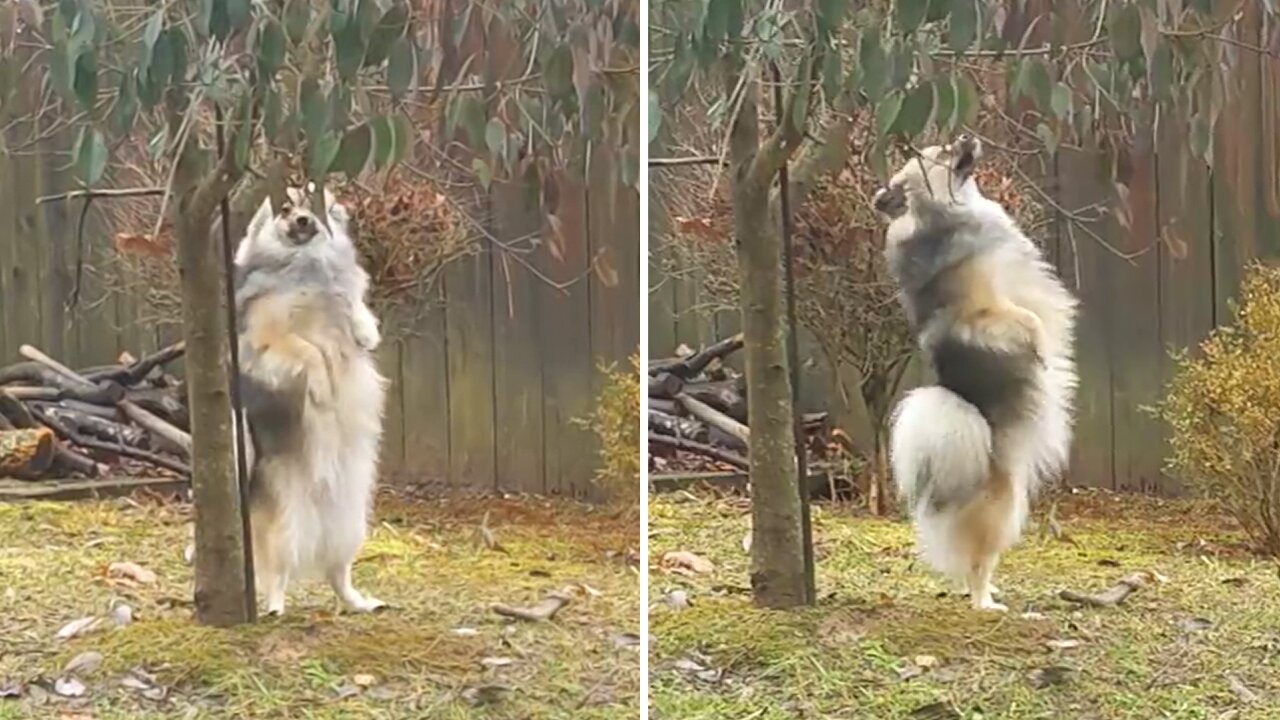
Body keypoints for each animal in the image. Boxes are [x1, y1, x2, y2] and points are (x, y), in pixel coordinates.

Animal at [232, 188, 386, 614]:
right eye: (284, 209)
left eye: (309, 202)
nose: (302, 219)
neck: (306, 266)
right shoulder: (271, 342)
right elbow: (310, 351)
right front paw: (320, 387)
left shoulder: (343, 294)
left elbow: (354, 305)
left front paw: (365, 331)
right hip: (287, 523)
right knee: (276, 572)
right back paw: (274, 606)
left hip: (351, 525)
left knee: (338, 573)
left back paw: (358, 602)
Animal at [875, 133, 1075, 604]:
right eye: (943, 153)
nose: (966, 135)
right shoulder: (984, 314)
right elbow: (1029, 320)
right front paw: (1042, 350)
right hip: (1005, 509)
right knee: (976, 563)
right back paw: (985, 603)